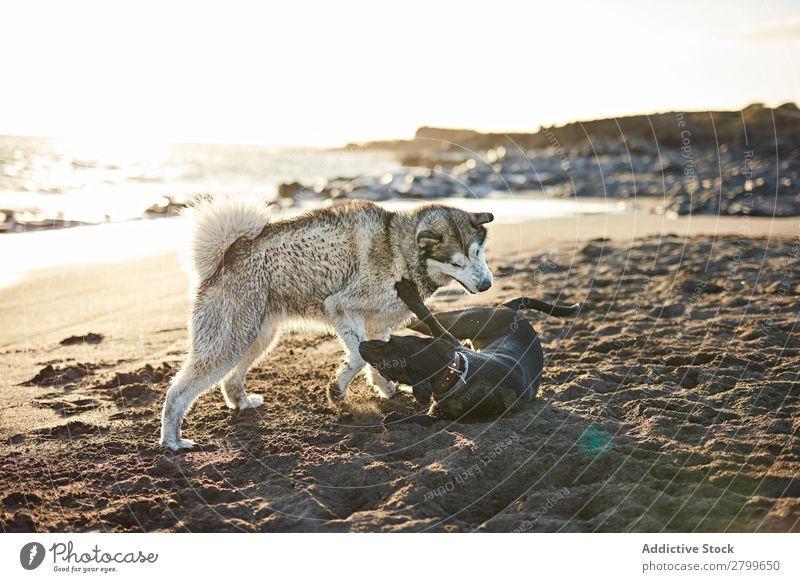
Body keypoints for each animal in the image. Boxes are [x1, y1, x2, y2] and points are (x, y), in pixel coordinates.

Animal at [159, 197, 490, 452]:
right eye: (456, 262)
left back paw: (241, 402)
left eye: (477, 252)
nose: (487, 284)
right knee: (177, 393)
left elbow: (376, 359)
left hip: (257, 339)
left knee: (230, 380)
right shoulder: (340, 305)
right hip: (229, 343)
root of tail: (227, 255)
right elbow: (358, 356)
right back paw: (172, 441)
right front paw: (337, 391)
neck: (399, 248)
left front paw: (386, 388)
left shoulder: (376, 324)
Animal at [360, 280, 580, 424]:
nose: (362, 345)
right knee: (427, 319)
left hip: (467, 321)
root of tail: (512, 310)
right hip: (465, 325)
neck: (454, 373)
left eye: (388, 355)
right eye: (390, 341)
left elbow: (418, 418)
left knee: (425, 319)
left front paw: (393, 417)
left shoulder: (441, 415)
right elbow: (431, 320)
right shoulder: (452, 344)